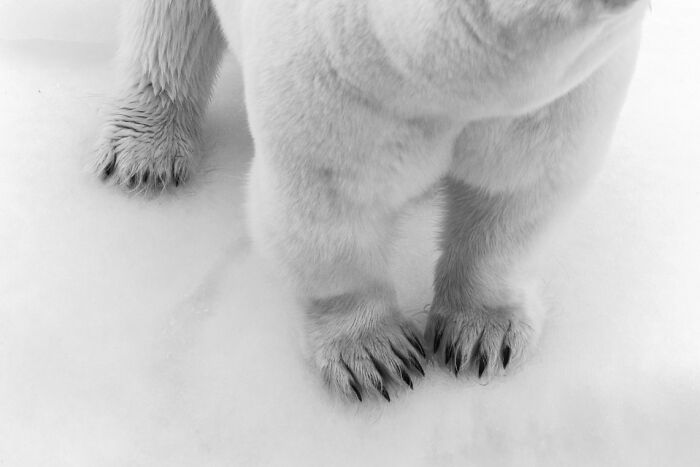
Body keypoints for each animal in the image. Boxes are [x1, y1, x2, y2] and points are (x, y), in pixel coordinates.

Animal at [95, 0, 647, 402]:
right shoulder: (340, 85)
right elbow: (325, 212)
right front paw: (377, 356)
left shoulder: (550, 106)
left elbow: (518, 195)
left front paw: (483, 337)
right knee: (165, 26)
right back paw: (145, 152)